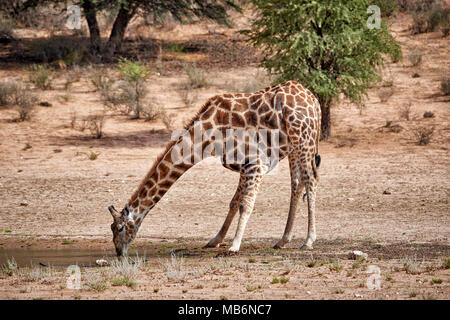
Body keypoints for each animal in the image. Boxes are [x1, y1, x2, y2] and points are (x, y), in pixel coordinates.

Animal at [107, 80, 322, 258]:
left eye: (119, 228)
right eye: (111, 227)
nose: (118, 251)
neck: (206, 137)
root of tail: (314, 100)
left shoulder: (255, 163)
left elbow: (246, 205)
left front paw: (234, 246)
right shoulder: (244, 167)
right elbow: (234, 202)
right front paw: (215, 240)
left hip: (304, 139)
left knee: (311, 180)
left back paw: (309, 240)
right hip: (295, 145)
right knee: (297, 183)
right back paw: (283, 240)